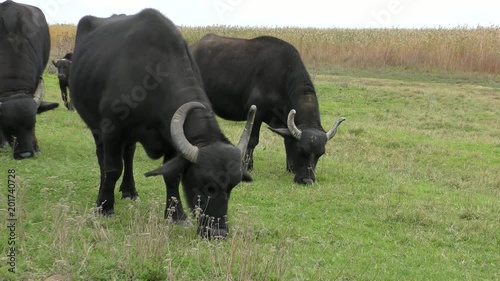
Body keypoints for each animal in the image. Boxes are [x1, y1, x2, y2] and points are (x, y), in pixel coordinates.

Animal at [70, 8, 256, 237]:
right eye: (206, 184)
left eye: (232, 186)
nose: (218, 232)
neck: (151, 77)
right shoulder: (112, 129)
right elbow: (112, 168)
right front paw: (104, 207)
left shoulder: (171, 141)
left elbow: (171, 176)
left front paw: (176, 215)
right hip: (96, 126)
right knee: (102, 158)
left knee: (128, 154)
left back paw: (130, 191)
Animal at [190, 33, 344, 184]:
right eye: (301, 150)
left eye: (320, 154)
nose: (307, 180)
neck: (283, 77)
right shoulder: (256, 114)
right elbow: (252, 140)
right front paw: (248, 166)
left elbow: (286, 140)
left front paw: (290, 167)